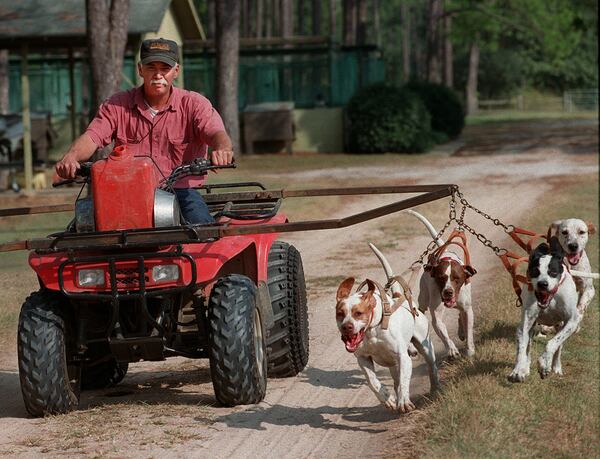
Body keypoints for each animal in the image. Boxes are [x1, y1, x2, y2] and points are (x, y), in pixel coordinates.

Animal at [406, 211, 476, 360]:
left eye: (457, 278)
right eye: (441, 278)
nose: (448, 292)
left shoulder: (468, 309)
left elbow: (468, 329)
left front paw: (470, 350)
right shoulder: (436, 317)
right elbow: (443, 333)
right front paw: (452, 349)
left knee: (461, 315)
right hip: (423, 298)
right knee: (422, 307)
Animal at [508, 239, 584, 382]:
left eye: (553, 272)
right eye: (535, 271)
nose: (542, 284)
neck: (551, 298)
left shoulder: (572, 321)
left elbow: (553, 343)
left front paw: (544, 363)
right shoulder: (525, 324)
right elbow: (522, 348)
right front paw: (518, 370)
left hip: (560, 325)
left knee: (559, 346)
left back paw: (556, 366)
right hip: (533, 327)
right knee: (528, 346)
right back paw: (525, 368)